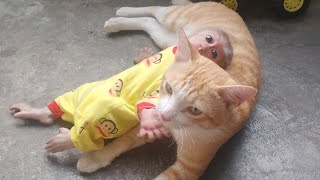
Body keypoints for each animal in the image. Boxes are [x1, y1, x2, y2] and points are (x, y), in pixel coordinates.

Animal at [77, 2, 260, 179]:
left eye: (195, 110)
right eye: (169, 88)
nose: (163, 115)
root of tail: (232, 11)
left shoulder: (187, 168)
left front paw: (94, 159)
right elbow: (123, 140)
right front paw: (96, 157)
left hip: (167, 38)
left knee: (151, 23)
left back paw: (117, 21)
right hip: (175, 21)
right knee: (156, 11)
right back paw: (121, 14)